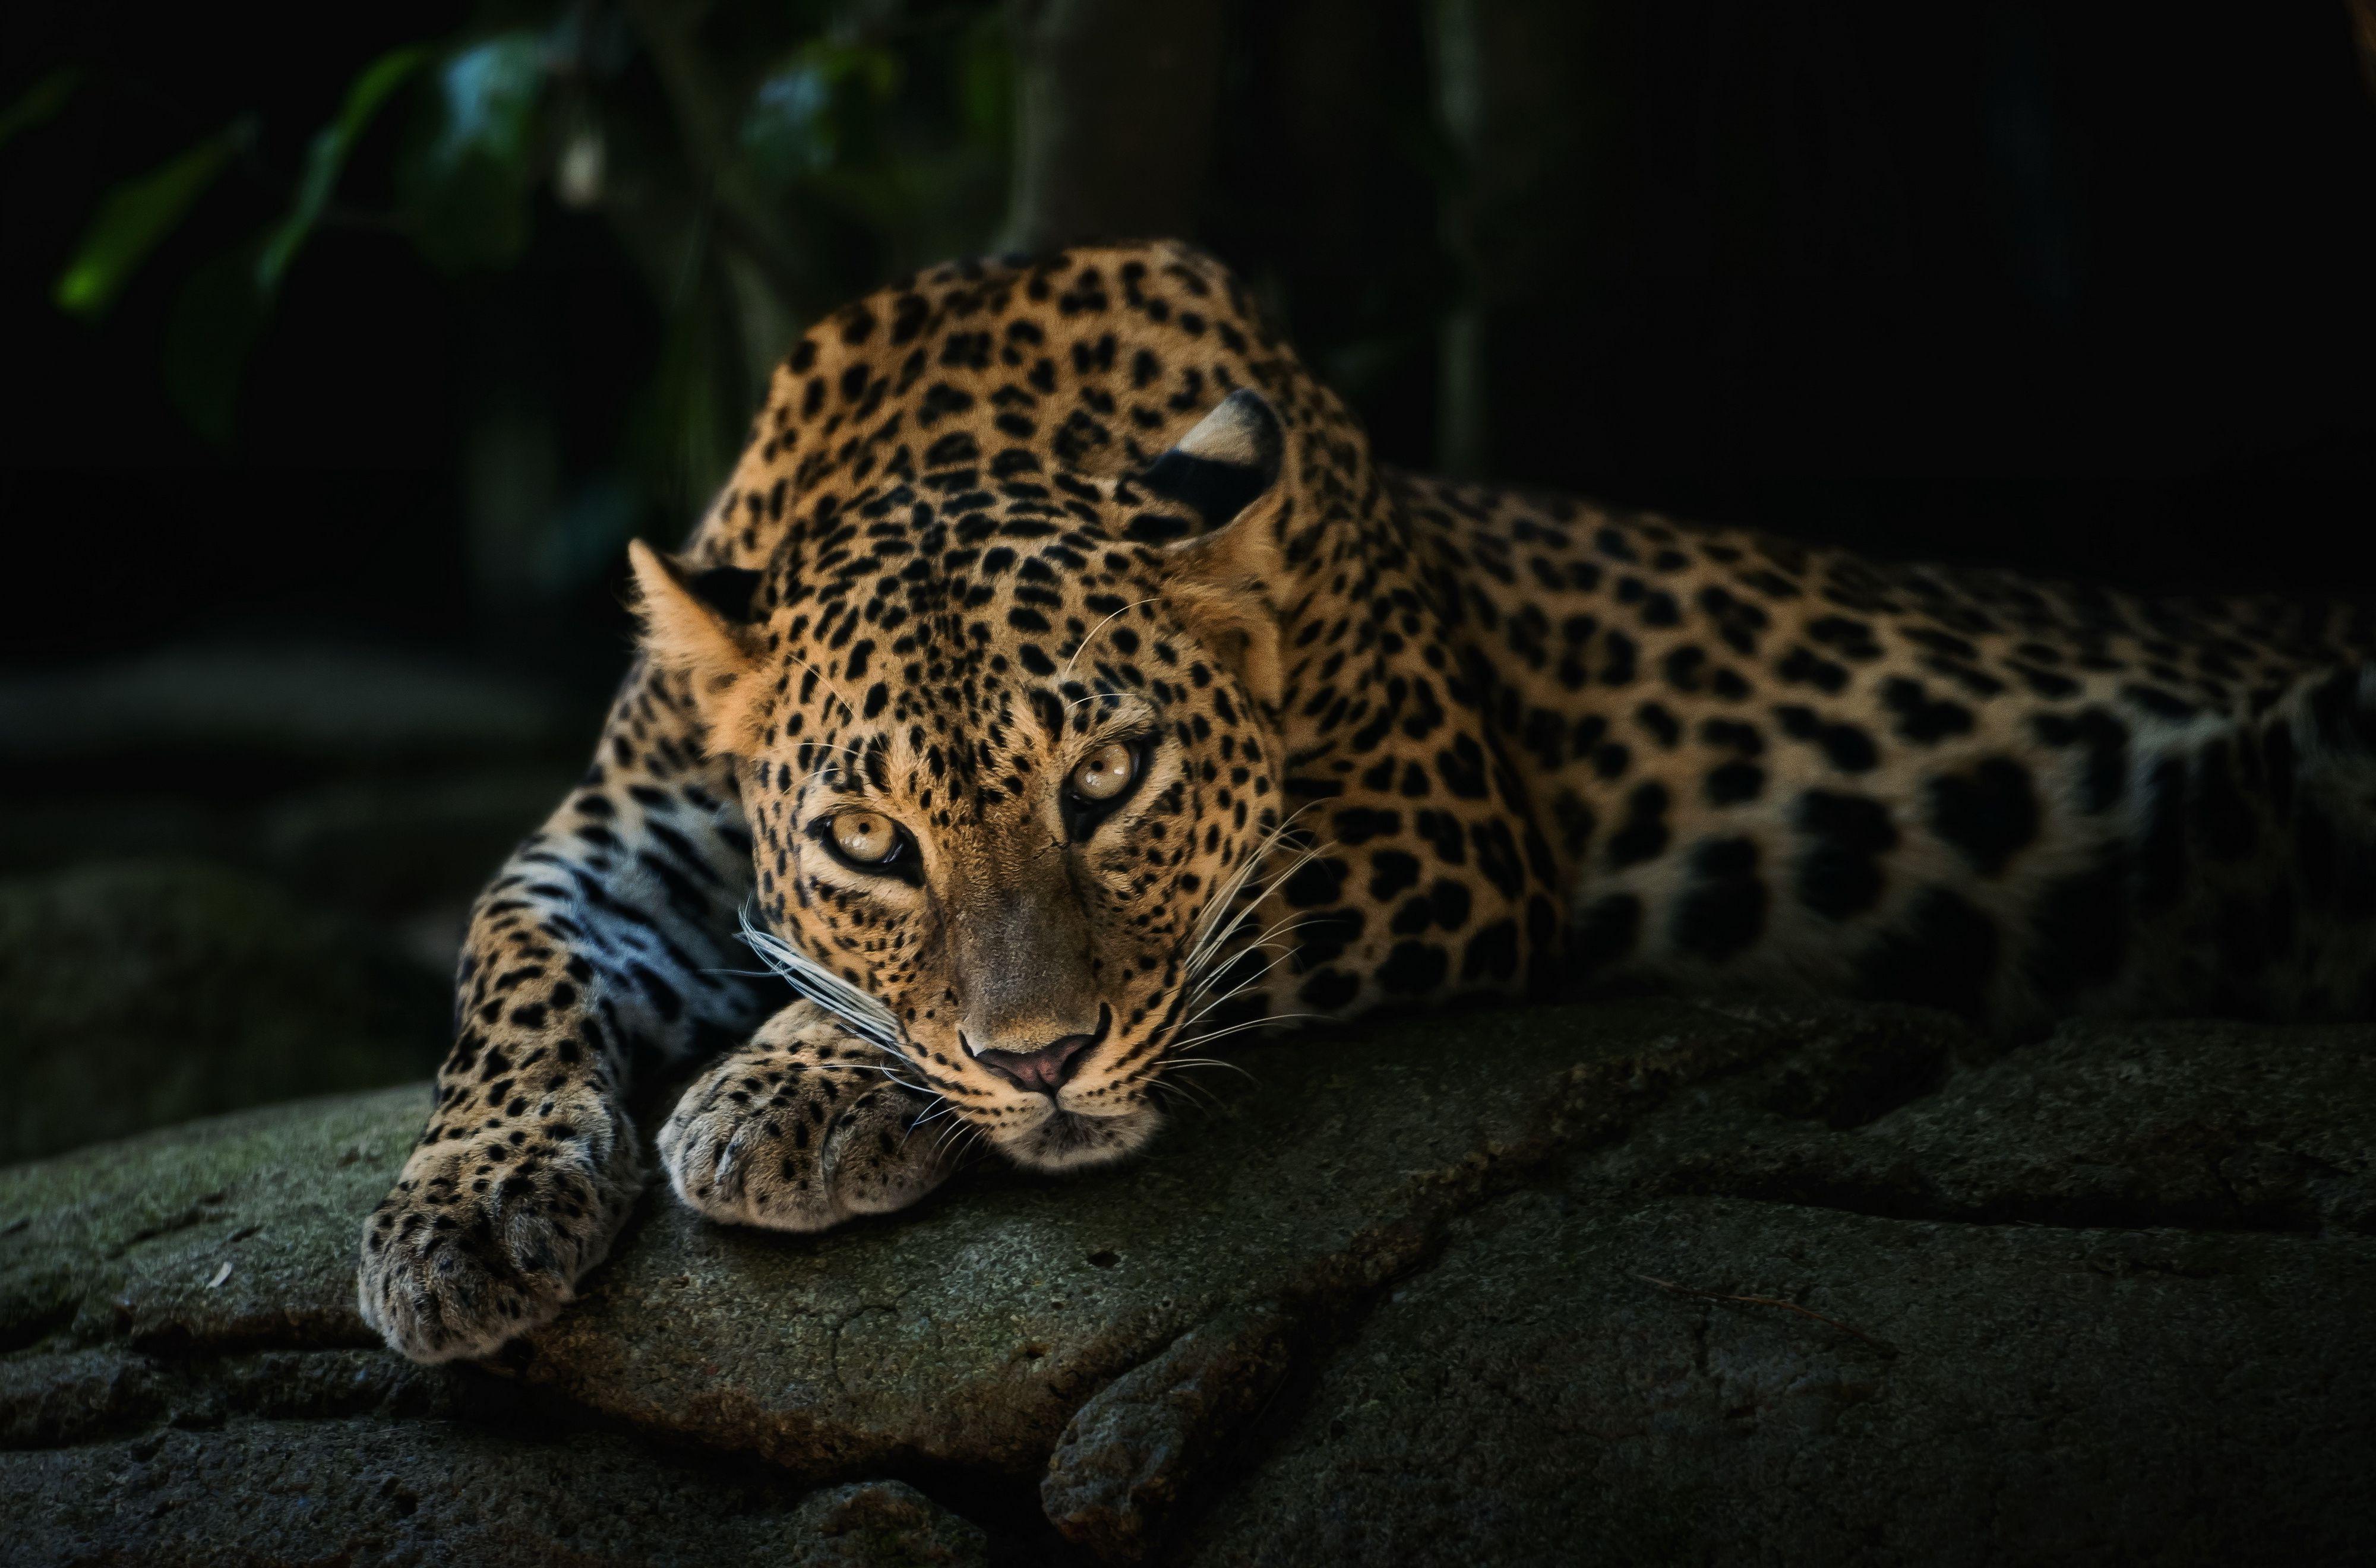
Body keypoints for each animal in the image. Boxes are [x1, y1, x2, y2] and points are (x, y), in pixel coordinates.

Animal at [359, 239, 2376, 1363]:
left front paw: (782, 1090)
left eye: (1109, 780)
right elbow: (505, 964)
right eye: (869, 840)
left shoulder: (1438, 831)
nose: (1038, 1065)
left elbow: (1187, 946)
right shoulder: (615, 841)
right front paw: (459, 1215)